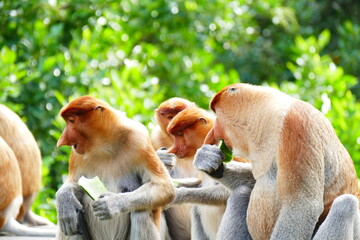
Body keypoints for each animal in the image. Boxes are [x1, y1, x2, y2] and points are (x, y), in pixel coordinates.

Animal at [55, 96, 175, 240]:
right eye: (68, 121)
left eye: (72, 121)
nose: (61, 141)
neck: (105, 146)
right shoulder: (76, 155)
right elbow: (74, 183)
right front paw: (65, 197)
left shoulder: (139, 140)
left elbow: (164, 187)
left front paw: (111, 203)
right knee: (71, 219)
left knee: (141, 212)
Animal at [193, 83, 358, 240]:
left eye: (217, 115)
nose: (213, 131)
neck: (270, 114)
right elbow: (253, 180)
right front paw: (209, 161)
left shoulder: (296, 126)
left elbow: (301, 205)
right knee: (242, 192)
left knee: (346, 205)